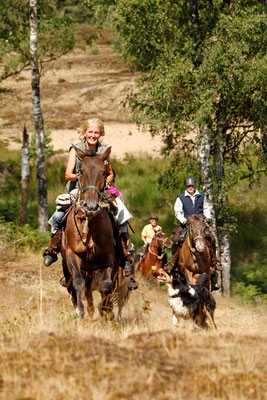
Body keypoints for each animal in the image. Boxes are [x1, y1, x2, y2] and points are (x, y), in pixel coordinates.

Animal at [60, 145, 120, 318]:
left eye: (104, 172)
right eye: (81, 171)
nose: (91, 206)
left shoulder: (109, 255)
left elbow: (106, 285)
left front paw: (106, 311)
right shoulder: (72, 255)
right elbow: (77, 282)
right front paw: (80, 312)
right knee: (74, 287)